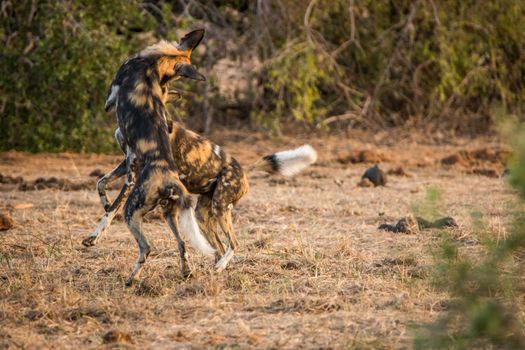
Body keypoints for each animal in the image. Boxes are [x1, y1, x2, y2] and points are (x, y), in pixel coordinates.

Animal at [97, 29, 212, 284]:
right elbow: (101, 183)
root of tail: (169, 180)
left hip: (132, 213)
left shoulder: (110, 103)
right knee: (182, 244)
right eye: (169, 81)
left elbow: (109, 199)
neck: (152, 61)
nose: (166, 91)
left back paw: (130, 280)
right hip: (170, 214)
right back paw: (185, 272)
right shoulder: (128, 159)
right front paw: (106, 204)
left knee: (146, 247)